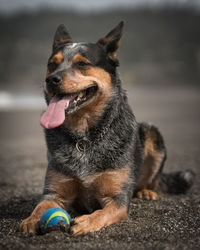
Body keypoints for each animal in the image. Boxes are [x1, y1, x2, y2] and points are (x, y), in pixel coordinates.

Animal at [19, 22, 195, 236]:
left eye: (82, 64)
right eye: (52, 64)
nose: (51, 79)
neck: (85, 138)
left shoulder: (117, 199)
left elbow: (103, 213)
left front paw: (86, 221)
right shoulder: (53, 193)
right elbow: (41, 206)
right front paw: (31, 220)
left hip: (152, 134)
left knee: (150, 181)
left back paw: (146, 191)